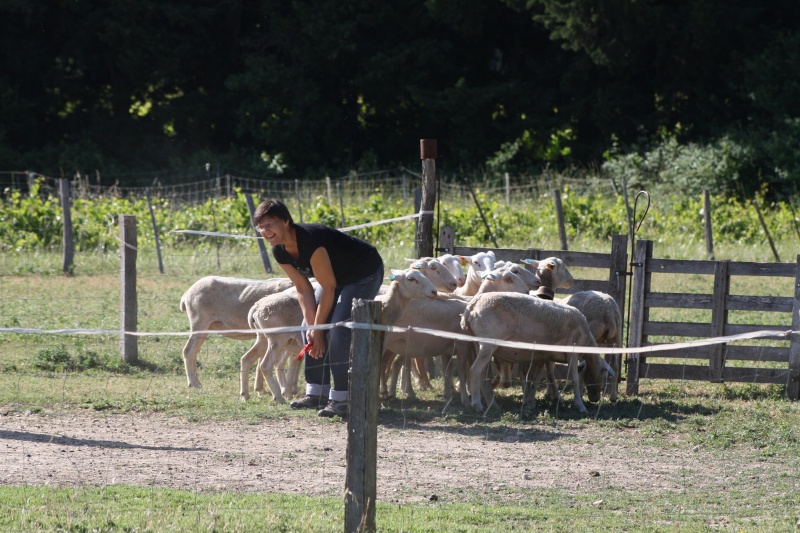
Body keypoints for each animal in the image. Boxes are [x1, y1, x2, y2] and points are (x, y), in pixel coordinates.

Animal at [456, 290, 612, 412]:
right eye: (603, 374)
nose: (595, 399)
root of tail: (472, 305)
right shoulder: (572, 354)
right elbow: (574, 378)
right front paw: (580, 406)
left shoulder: (541, 356)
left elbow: (534, 379)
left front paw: (530, 402)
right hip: (488, 344)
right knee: (475, 370)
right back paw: (477, 404)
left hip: (478, 344)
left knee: (483, 376)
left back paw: (492, 405)